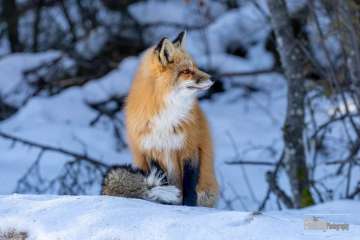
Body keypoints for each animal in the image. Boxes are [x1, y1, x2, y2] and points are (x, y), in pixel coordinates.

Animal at [102, 31, 218, 207]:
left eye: (196, 67)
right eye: (187, 71)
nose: (213, 78)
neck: (166, 115)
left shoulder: (190, 146)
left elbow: (189, 185)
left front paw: (188, 206)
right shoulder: (150, 149)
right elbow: (163, 181)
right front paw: (167, 202)